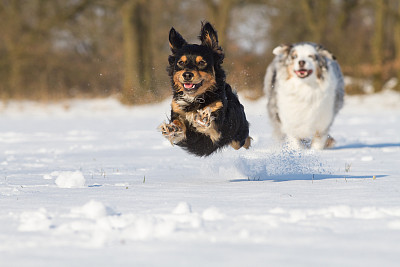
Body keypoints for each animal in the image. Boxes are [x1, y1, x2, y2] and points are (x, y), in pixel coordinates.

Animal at [159, 22, 250, 157]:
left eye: (202, 62)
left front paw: (202, 119)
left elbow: (210, 123)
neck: (194, 99)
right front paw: (172, 128)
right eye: (181, 62)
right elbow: (178, 124)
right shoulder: (177, 112)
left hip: (236, 136)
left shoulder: (217, 131)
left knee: (244, 139)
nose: (187, 75)